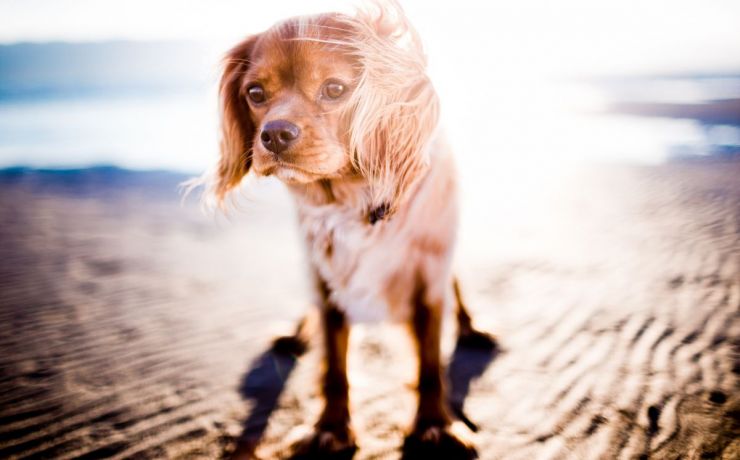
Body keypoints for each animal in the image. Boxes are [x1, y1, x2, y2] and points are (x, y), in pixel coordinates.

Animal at [202, 2, 494, 456]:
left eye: (336, 89)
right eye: (255, 94)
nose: (274, 134)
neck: (351, 199)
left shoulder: (428, 276)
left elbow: (430, 362)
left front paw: (435, 425)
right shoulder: (325, 277)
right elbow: (334, 366)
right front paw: (331, 428)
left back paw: (471, 327)